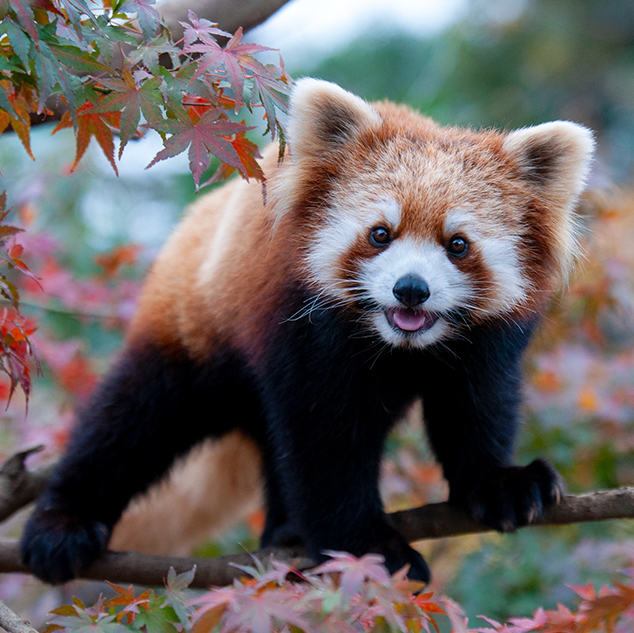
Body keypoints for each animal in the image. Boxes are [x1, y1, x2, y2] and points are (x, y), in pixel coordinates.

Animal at [21, 79, 592, 584]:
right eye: (380, 234)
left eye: (457, 244)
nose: (411, 289)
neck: (398, 347)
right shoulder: (302, 330)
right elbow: (324, 443)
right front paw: (371, 550)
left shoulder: (487, 343)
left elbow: (476, 409)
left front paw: (500, 484)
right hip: (192, 324)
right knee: (134, 418)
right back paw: (63, 524)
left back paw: (286, 536)